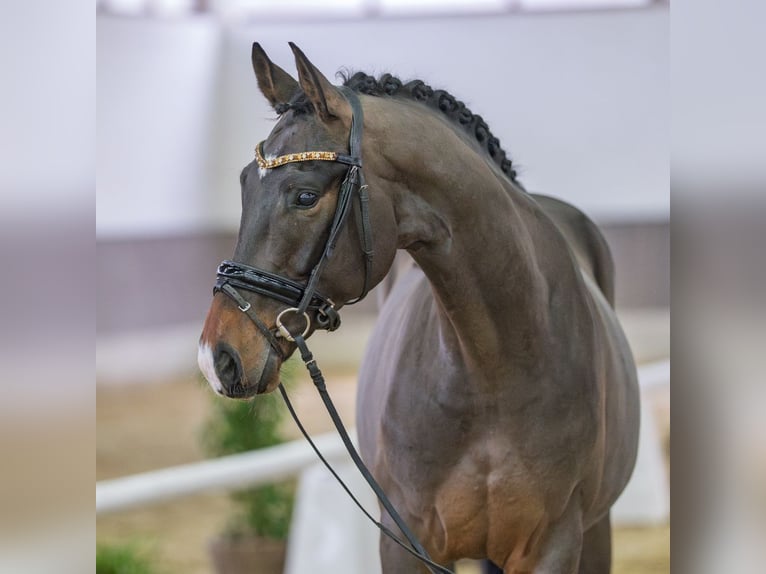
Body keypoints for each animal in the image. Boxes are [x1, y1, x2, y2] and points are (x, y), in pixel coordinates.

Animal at [198, 42, 640, 574]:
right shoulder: (405, 540)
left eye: (305, 195)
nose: (216, 358)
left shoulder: (554, 544)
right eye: (244, 184)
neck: (493, 369)